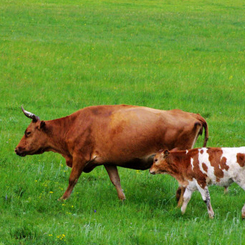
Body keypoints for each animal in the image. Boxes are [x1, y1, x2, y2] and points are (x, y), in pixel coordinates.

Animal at [14, 104, 208, 202]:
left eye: (28, 132)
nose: (17, 149)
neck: (73, 125)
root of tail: (194, 115)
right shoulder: (108, 160)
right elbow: (116, 180)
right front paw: (122, 199)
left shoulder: (80, 157)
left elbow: (72, 179)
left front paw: (63, 199)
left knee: (184, 184)